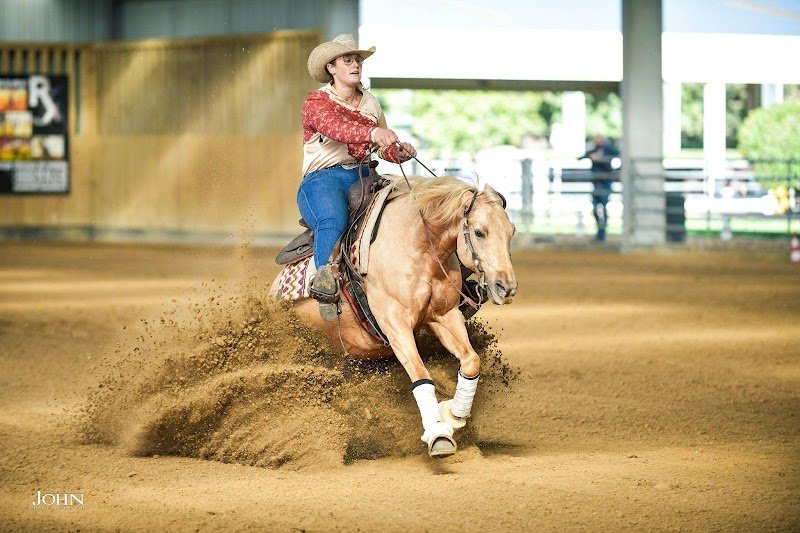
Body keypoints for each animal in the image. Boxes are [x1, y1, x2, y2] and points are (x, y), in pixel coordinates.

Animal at [272, 175, 517, 457]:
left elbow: (471, 361)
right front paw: (438, 434)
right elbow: (421, 375)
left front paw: (453, 415)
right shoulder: (396, 326)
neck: (418, 246)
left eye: (512, 231)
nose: (506, 287)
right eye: (479, 232)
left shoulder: (445, 316)